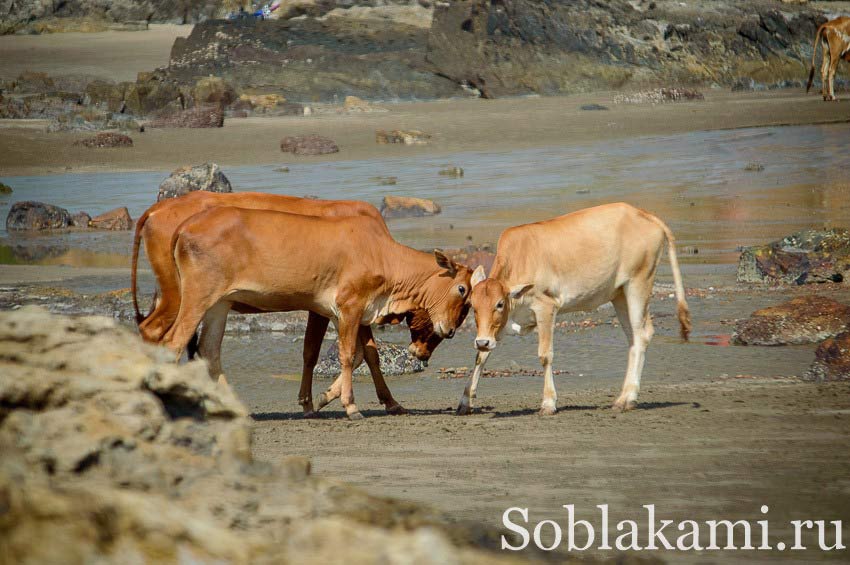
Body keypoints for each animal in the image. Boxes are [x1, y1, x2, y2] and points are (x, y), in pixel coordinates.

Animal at [131, 192, 450, 416]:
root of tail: (157, 209)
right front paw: (320, 401)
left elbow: (361, 353)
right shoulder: (337, 307)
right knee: (157, 333)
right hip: (180, 297)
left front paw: (319, 400)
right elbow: (338, 353)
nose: (422, 354)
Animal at [458, 202, 688, 414]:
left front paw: (548, 403)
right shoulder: (499, 326)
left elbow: (545, 355)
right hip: (620, 294)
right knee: (633, 338)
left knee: (642, 334)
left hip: (638, 282)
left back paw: (629, 398)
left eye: (499, 303)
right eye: (473, 306)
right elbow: (481, 356)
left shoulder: (546, 308)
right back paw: (623, 397)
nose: (481, 341)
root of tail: (643, 214)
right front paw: (465, 402)